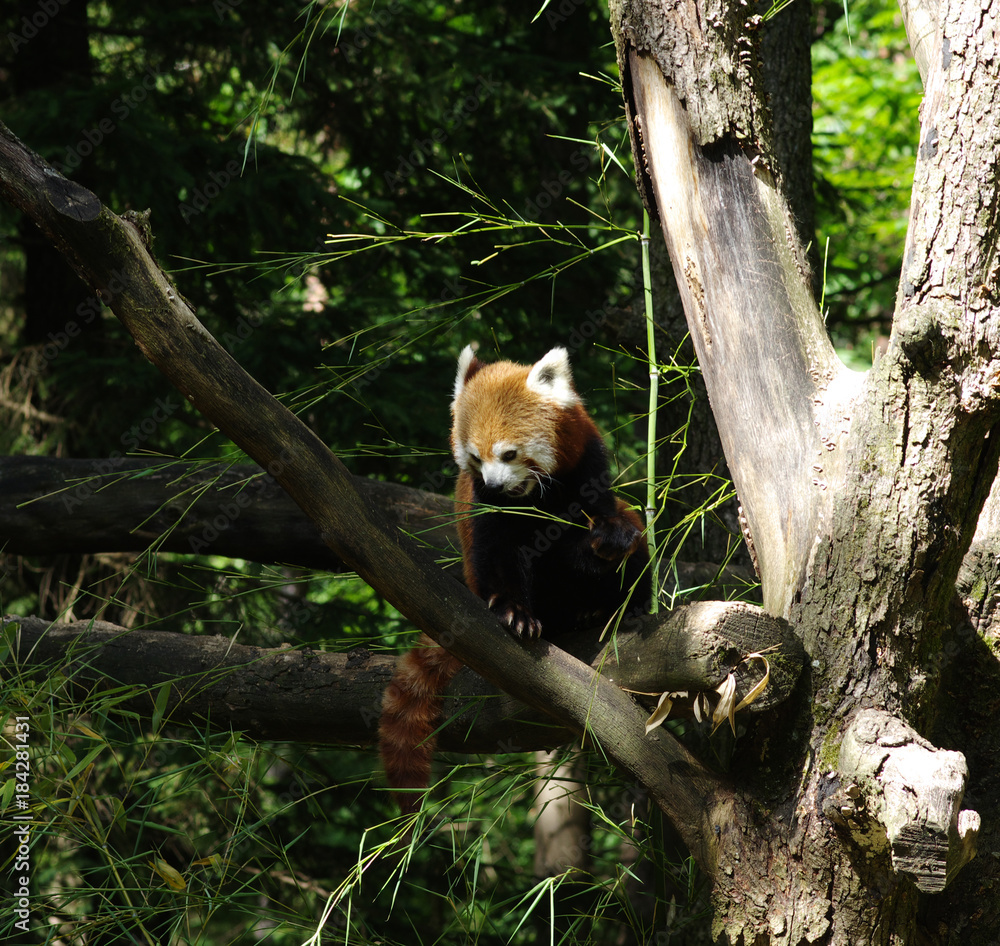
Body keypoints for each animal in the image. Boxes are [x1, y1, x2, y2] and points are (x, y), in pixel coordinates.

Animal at [378, 344, 652, 812]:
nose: (494, 484)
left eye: (508, 454)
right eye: (475, 458)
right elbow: (500, 555)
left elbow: (605, 526)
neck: (538, 496)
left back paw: (612, 609)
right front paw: (515, 614)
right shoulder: (487, 512)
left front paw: (609, 541)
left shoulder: (586, 463)